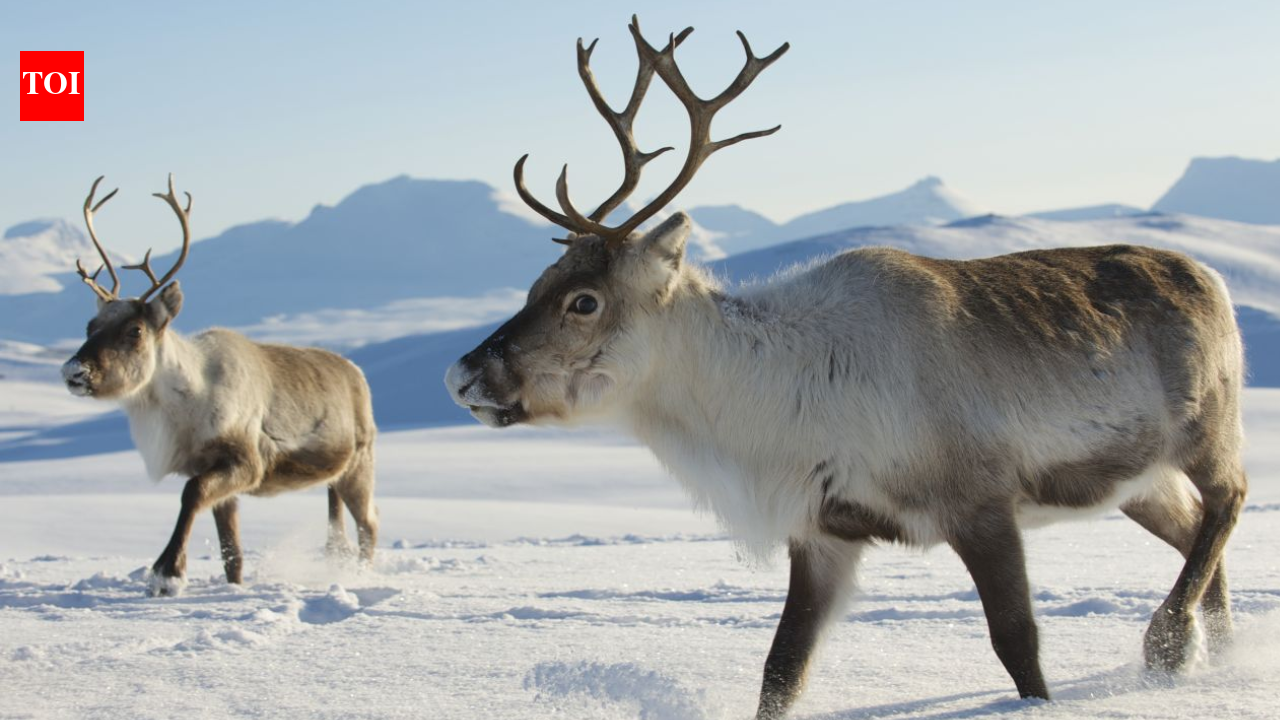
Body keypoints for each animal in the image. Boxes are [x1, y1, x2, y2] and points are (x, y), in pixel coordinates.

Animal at [60, 175, 378, 597]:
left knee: (370, 525)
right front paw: (230, 585)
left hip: (360, 463)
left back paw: (359, 577)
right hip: (336, 476)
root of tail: (357, 373)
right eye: (89, 326)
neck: (186, 404)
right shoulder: (213, 471)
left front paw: (167, 574)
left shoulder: (245, 462)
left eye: (135, 330)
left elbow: (190, 494)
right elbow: (232, 552)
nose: (74, 371)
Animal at [444, 17, 1247, 719]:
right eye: (535, 284)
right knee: (1194, 532)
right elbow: (781, 669)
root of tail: (1210, 276)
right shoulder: (824, 530)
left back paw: (1170, 645)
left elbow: (1018, 644)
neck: (774, 403)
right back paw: (1218, 654)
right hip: (1135, 480)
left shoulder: (979, 501)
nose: (461, 375)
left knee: (1228, 500)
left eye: (583, 301)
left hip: (1207, 427)